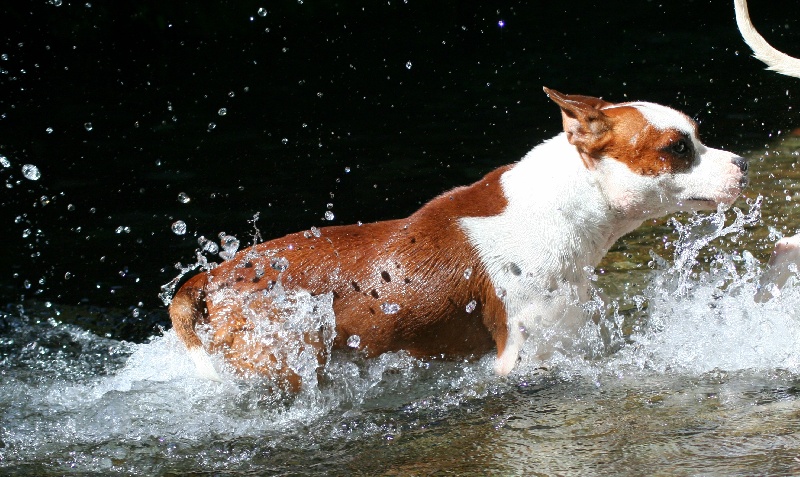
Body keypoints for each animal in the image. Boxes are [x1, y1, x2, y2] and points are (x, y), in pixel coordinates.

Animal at [169, 87, 748, 390]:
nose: (742, 163)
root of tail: (212, 279)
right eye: (677, 148)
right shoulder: (526, 356)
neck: (568, 202)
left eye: (698, 135)